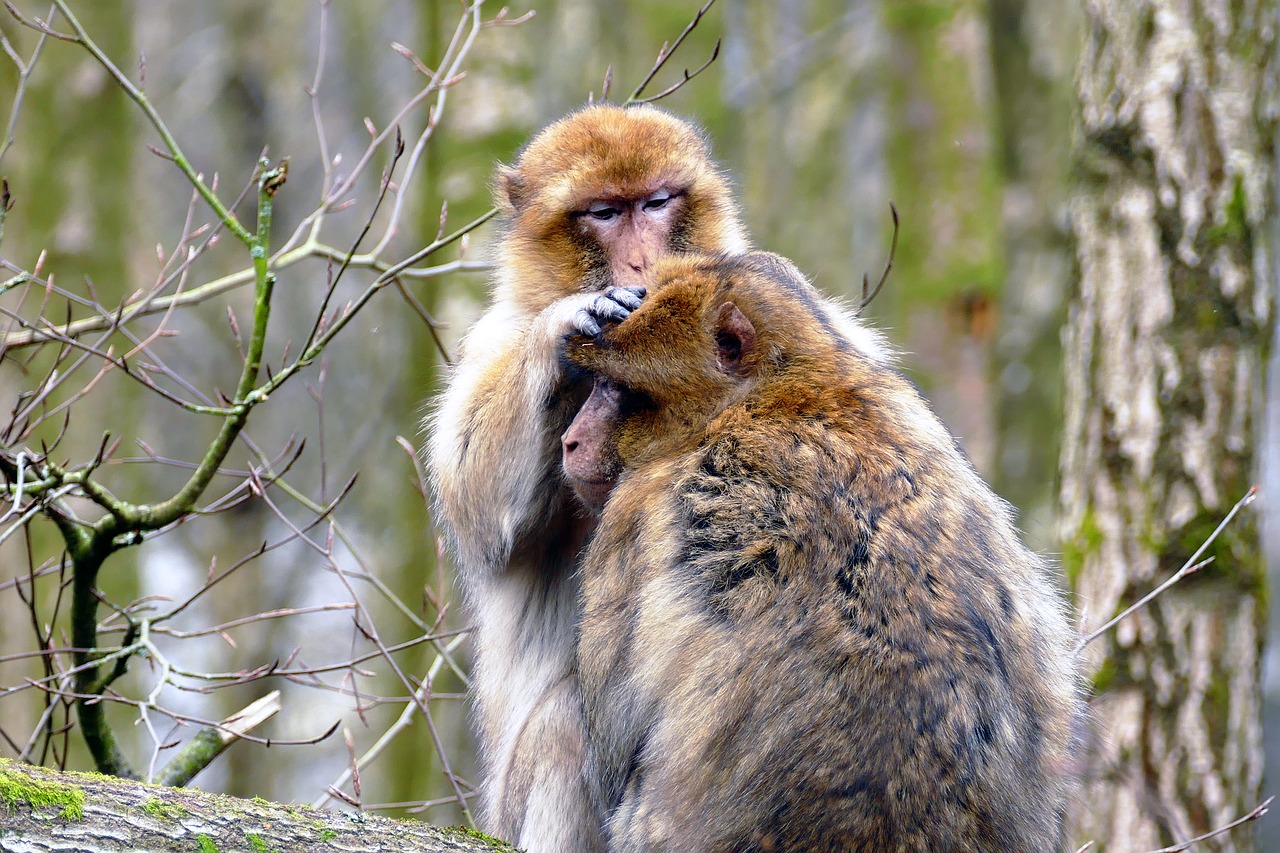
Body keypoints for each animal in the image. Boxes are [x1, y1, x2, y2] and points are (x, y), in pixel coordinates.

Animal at [430, 103, 747, 845]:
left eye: (656, 203)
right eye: (604, 212)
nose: (641, 259)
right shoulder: (493, 338)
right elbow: (474, 500)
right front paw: (561, 333)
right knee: (565, 724)